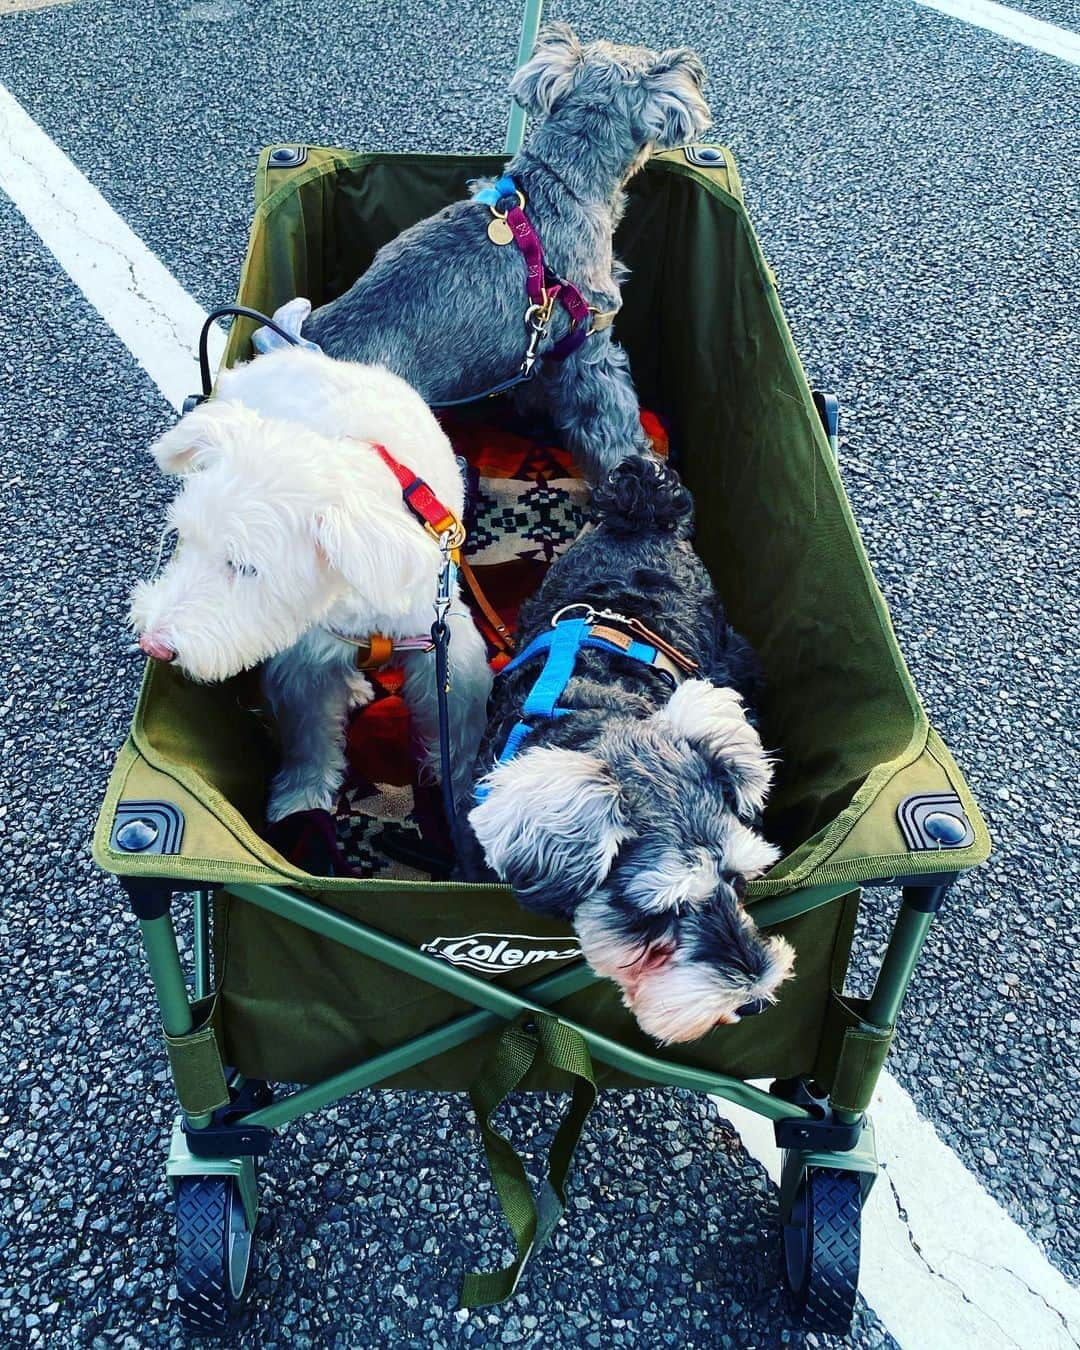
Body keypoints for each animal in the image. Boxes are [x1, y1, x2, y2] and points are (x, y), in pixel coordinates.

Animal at [129, 345, 494, 820]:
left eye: (246, 567)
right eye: (185, 540)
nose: (153, 644)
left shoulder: (445, 644)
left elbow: (458, 734)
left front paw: (463, 799)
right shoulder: (306, 662)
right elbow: (310, 738)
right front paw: (300, 800)